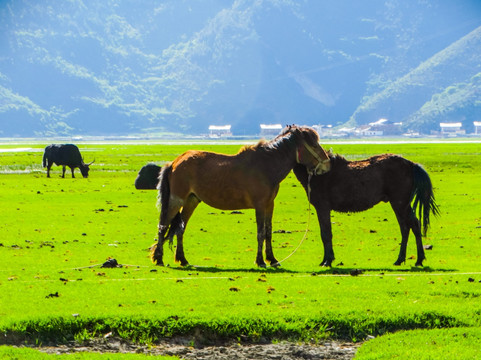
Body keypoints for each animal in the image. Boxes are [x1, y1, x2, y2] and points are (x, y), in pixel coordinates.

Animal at [152, 125, 332, 266]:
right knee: (163, 226)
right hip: (176, 200)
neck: (266, 166)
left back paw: (182, 260)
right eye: (313, 144)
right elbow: (260, 232)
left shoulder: (269, 204)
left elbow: (268, 231)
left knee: (180, 228)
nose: (327, 163)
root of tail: (174, 162)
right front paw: (260, 261)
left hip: (191, 200)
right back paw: (159, 259)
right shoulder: (260, 205)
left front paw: (272, 259)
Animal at [292, 152, 438, 268]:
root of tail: (411, 164)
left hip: (399, 203)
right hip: (401, 205)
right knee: (409, 226)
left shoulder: (323, 208)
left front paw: (327, 261)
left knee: (410, 225)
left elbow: (325, 234)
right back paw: (409, 259)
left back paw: (412, 259)